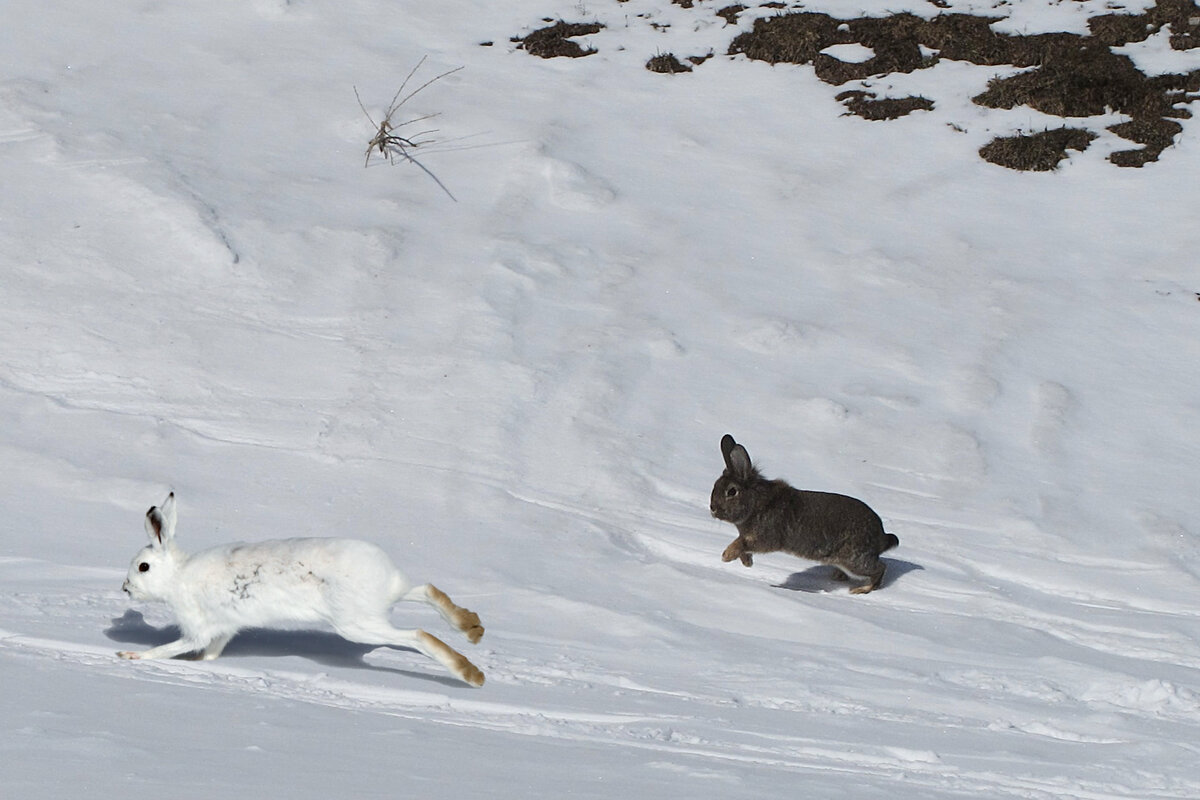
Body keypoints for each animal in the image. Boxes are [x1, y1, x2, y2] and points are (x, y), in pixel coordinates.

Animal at [705, 431, 897, 594]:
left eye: (732, 491)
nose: (712, 508)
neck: (755, 503)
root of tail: (881, 536)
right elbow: (743, 545)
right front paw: (747, 563)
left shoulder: (766, 538)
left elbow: (742, 543)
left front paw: (726, 556)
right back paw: (838, 576)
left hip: (854, 559)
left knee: (879, 568)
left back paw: (861, 589)